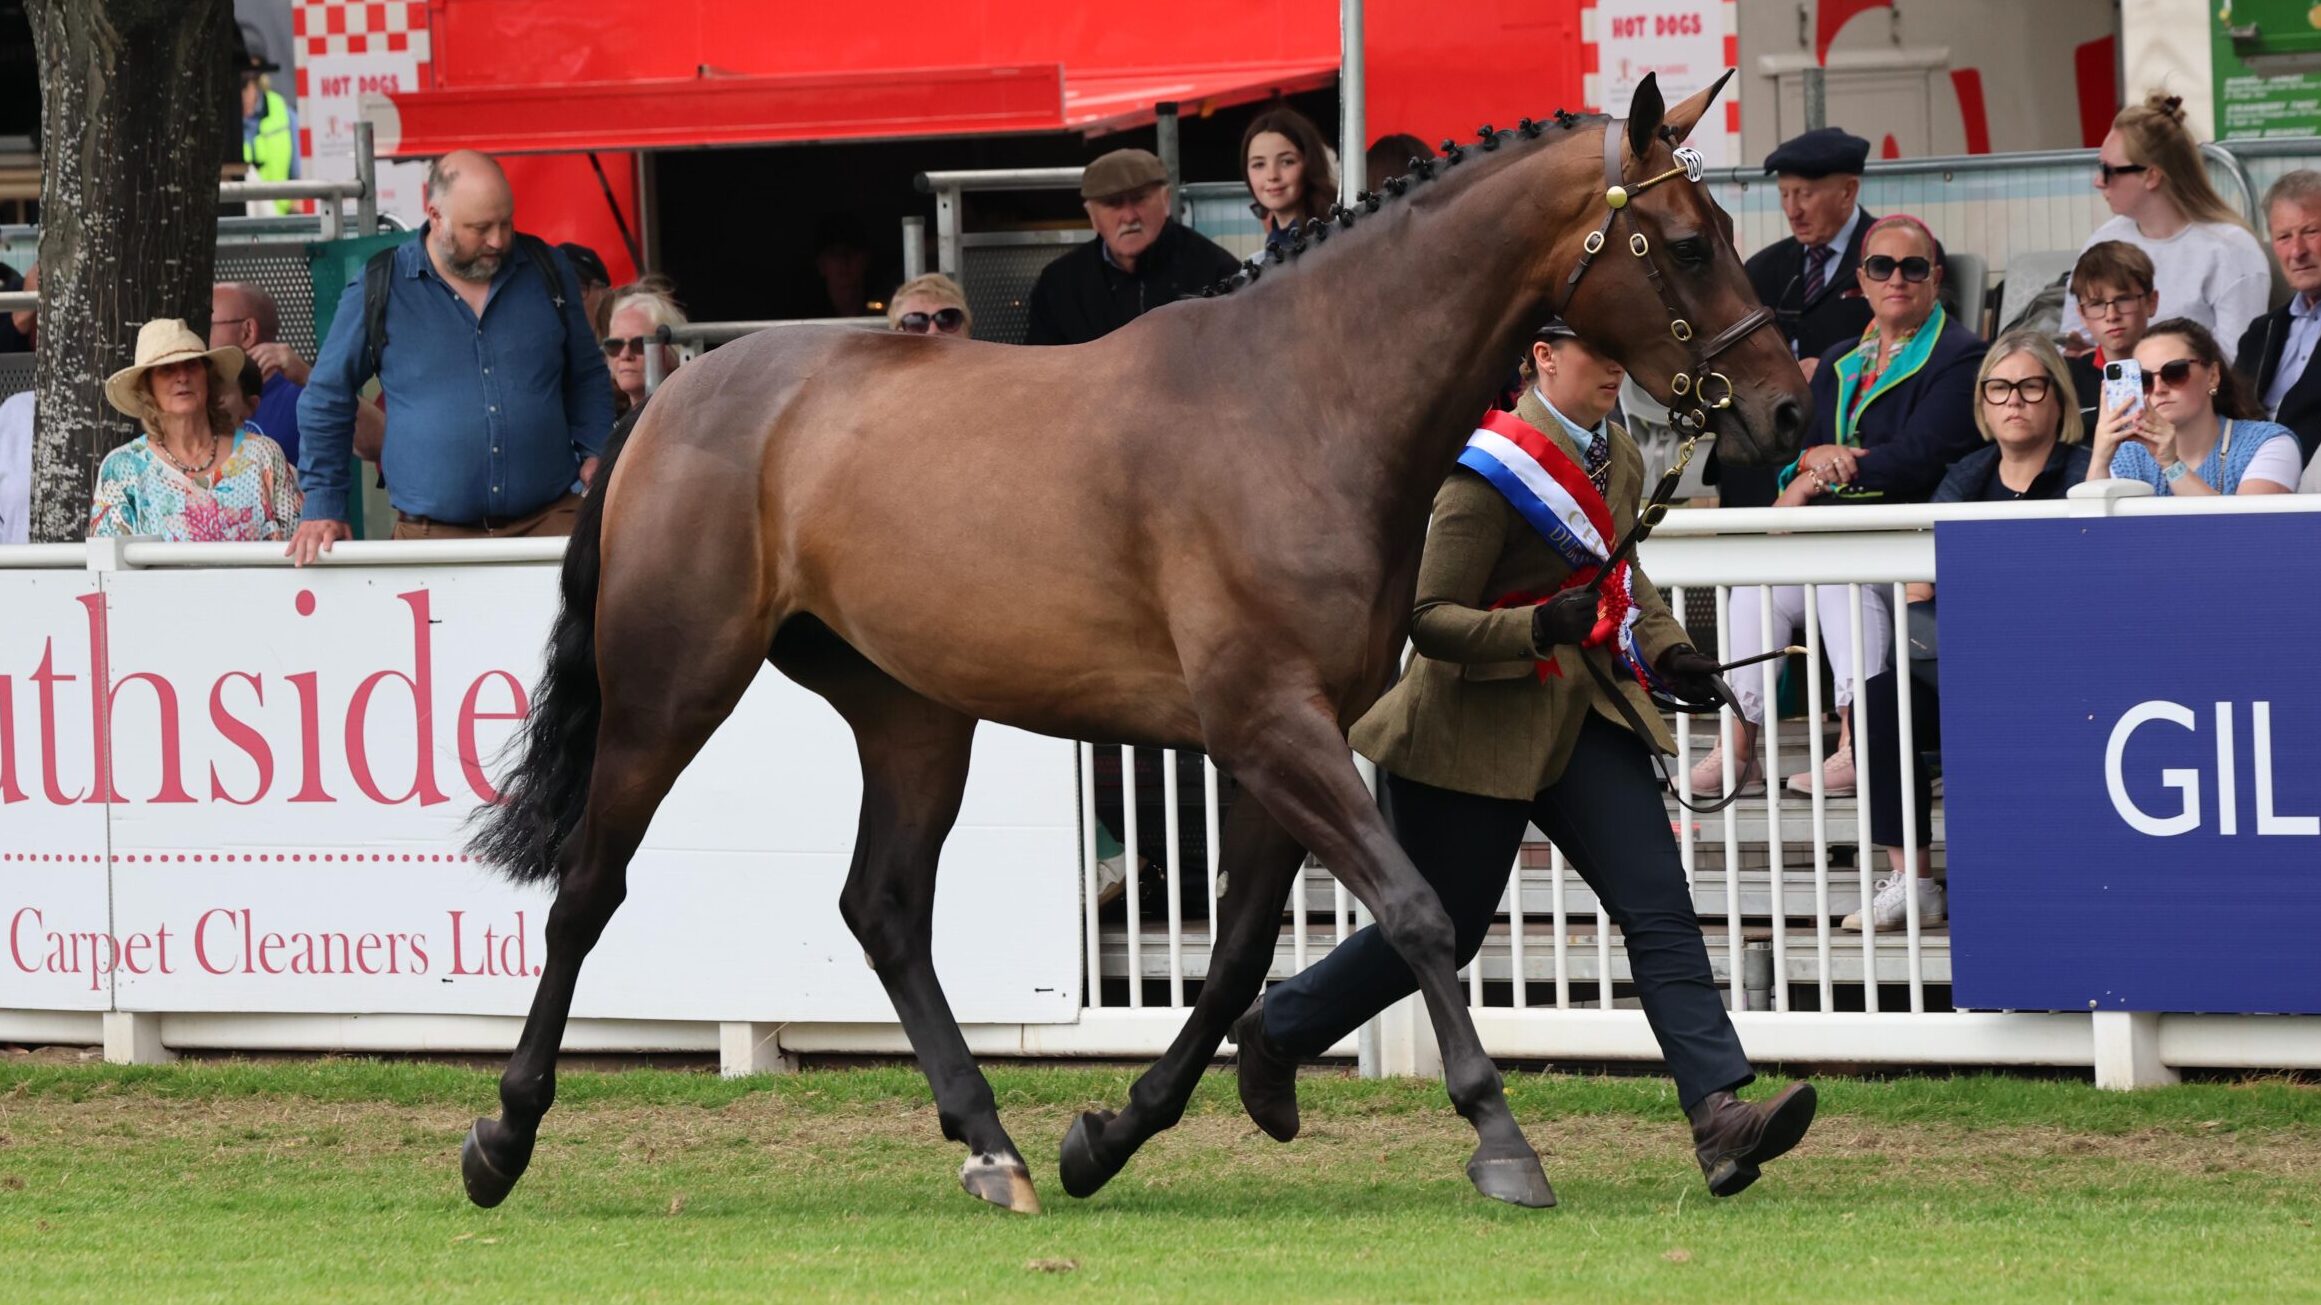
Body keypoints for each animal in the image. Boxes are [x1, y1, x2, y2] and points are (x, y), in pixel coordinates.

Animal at [459, 70, 1807, 1215]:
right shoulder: (1269, 726)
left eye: (1727, 231)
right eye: (1687, 242)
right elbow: (1417, 914)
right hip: (672, 687)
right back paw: (502, 1138)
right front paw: (1501, 1141)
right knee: (588, 889)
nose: (1785, 405)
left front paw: (1107, 1136)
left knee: (882, 906)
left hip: (911, 712)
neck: (1296, 405)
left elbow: (1238, 958)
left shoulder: (1273, 742)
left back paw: (992, 1147)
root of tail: (668, 401)